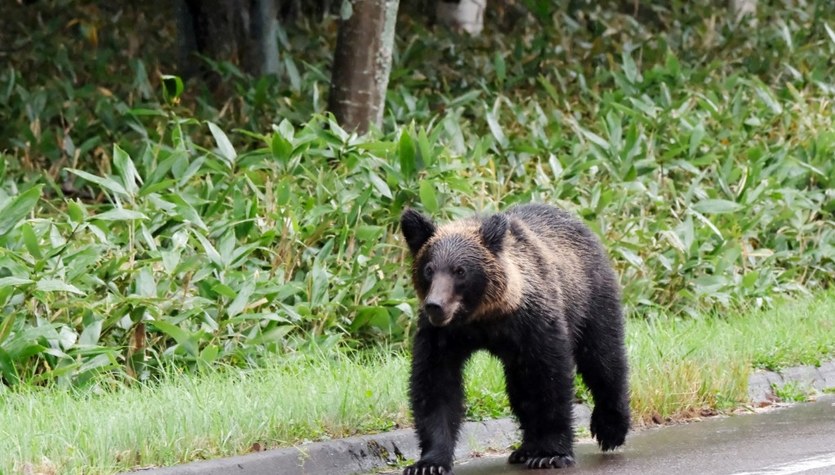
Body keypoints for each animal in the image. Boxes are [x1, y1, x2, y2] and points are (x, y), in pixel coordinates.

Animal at [402, 203, 632, 474]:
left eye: (460, 271)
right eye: (428, 269)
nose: (435, 306)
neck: (483, 318)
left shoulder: (535, 324)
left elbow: (550, 380)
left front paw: (550, 453)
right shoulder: (441, 337)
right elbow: (435, 386)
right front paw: (429, 462)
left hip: (591, 299)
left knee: (603, 358)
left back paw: (611, 429)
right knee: (520, 389)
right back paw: (525, 448)